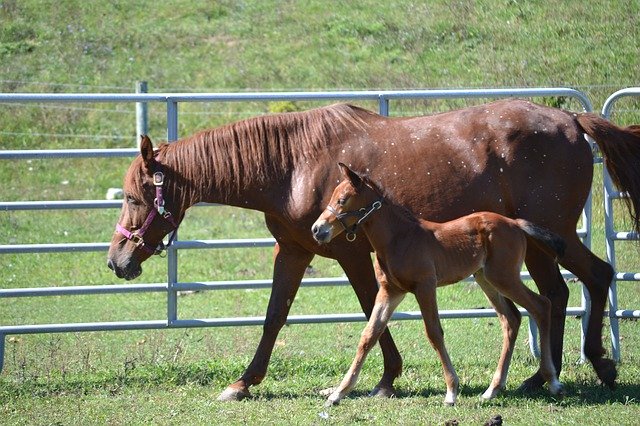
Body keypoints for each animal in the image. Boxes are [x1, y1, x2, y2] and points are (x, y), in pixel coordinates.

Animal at [106, 99, 640, 400]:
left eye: (133, 198)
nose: (116, 261)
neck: (293, 164)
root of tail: (571, 118)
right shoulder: (293, 252)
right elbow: (275, 316)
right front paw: (243, 383)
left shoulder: (351, 254)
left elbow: (369, 310)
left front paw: (385, 379)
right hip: (535, 247)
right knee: (562, 293)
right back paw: (547, 376)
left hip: (551, 237)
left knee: (588, 280)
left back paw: (591, 365)